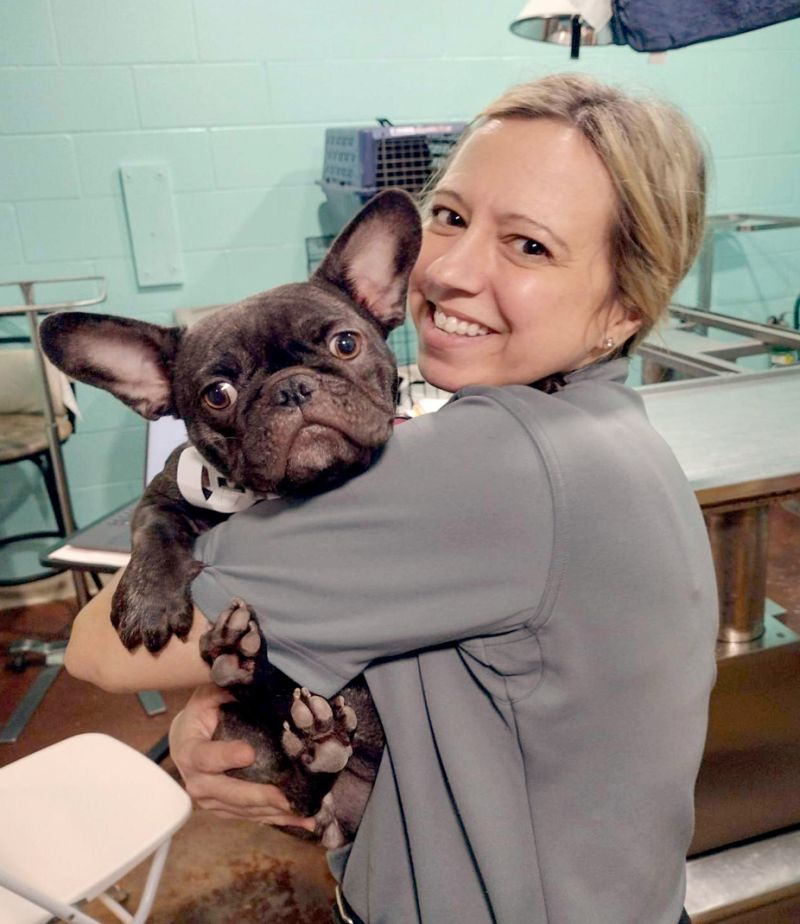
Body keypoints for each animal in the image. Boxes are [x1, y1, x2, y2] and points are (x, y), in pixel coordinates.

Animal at [40, 189, 422, 844]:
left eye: (347, 344)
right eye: (217, 393)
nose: (292, 388)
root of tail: (344, 812)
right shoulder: (167, 489)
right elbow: (154, 527)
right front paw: (148, 599)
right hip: (243, 736)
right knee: (296, 779)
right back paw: (266, 689)